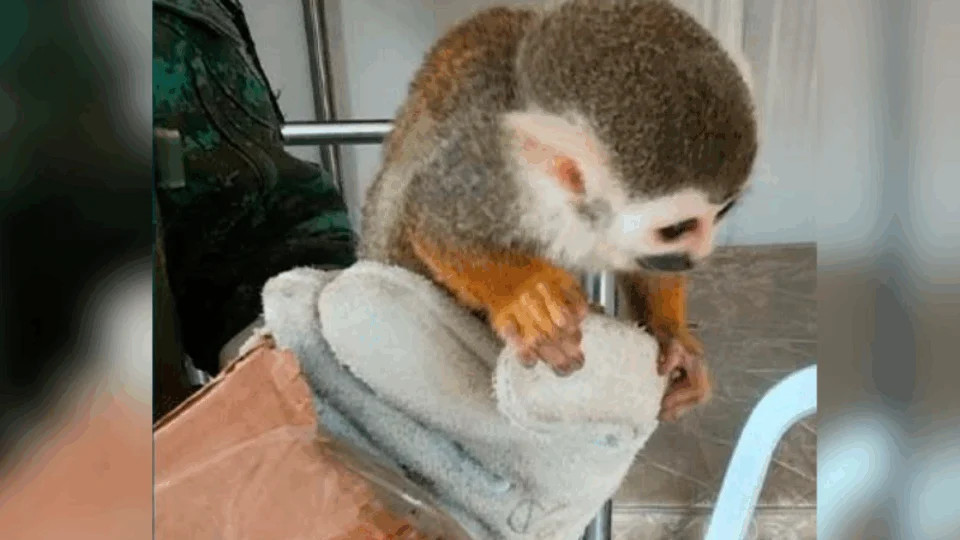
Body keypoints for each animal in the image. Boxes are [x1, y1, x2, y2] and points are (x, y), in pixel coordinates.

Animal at [358, 0, 758, 422]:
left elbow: (647, 266)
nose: (699, 255)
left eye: (721, 214)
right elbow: (432, 221)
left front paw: (674, 338)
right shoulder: (490, 172)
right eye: (677, 229)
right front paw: (524, 295)